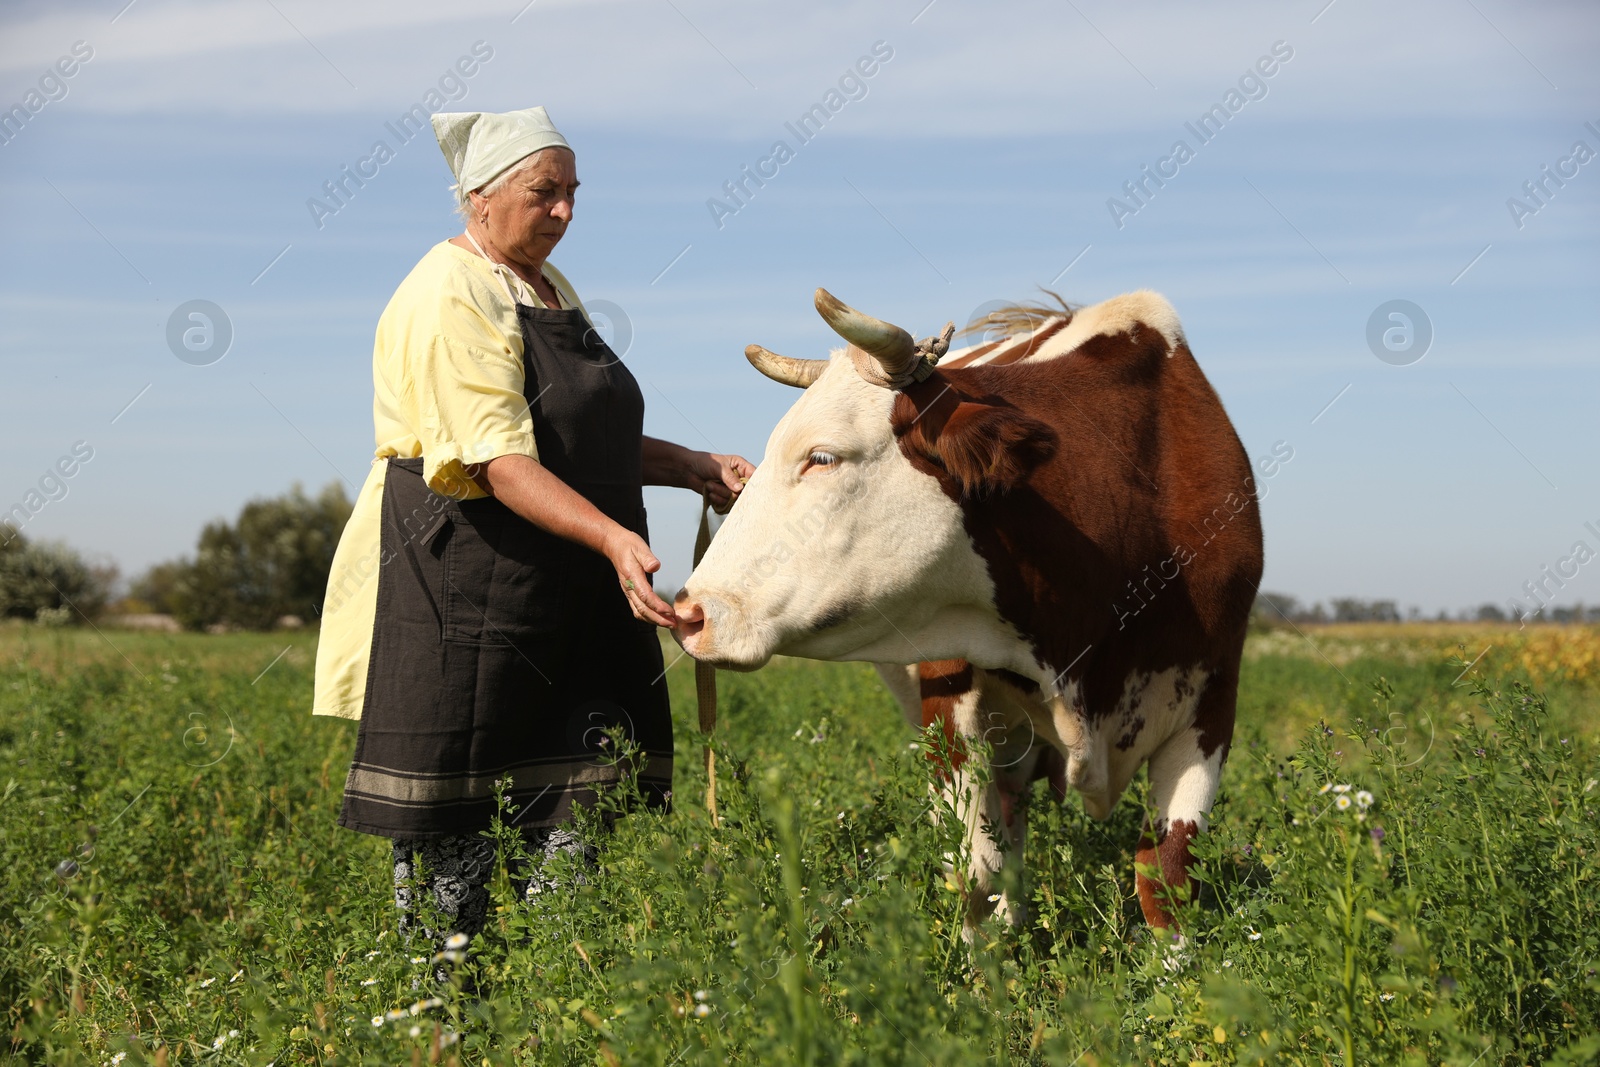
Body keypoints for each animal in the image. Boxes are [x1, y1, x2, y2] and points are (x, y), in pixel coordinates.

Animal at [675, 287, 1260, 940]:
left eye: (821, 457)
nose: (690, 612)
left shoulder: (1212, 704)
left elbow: (1167, 882)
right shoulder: (948, 689)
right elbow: (975, 873)